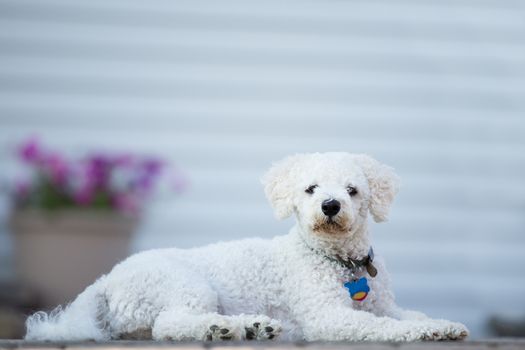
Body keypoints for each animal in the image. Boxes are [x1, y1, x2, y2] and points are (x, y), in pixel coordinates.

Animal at [24, 152, 468, 340]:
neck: (341, 261)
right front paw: (423, 331)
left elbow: (408, 315)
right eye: (311, 189)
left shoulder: (386, 305)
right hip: (185, 285)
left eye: (352, 190)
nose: (330, 205)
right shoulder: (327, 316)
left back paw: (253, 327)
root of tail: (106, 280)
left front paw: (441, 325)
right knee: (170, 325)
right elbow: (381, 327)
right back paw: (231, 327)